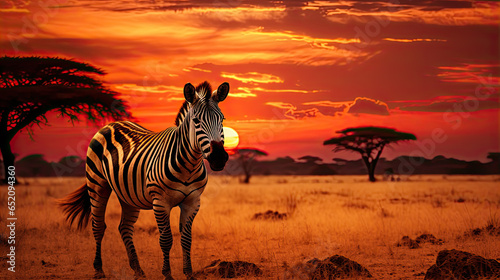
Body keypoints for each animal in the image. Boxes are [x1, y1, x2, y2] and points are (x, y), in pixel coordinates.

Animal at [58, 81, 229, 280]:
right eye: (196, 121)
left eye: (222, 120)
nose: (218, 158)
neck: (189, 165)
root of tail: (111, 124)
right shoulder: (160, 202)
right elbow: (166, 239)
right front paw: (167, 274)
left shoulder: (193, 202)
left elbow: (187, 239)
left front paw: (189, 274)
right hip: (97, 184)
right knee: (98, 226)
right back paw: (99, 269)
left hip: (128, 195)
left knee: (124, 227)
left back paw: (138, 270)